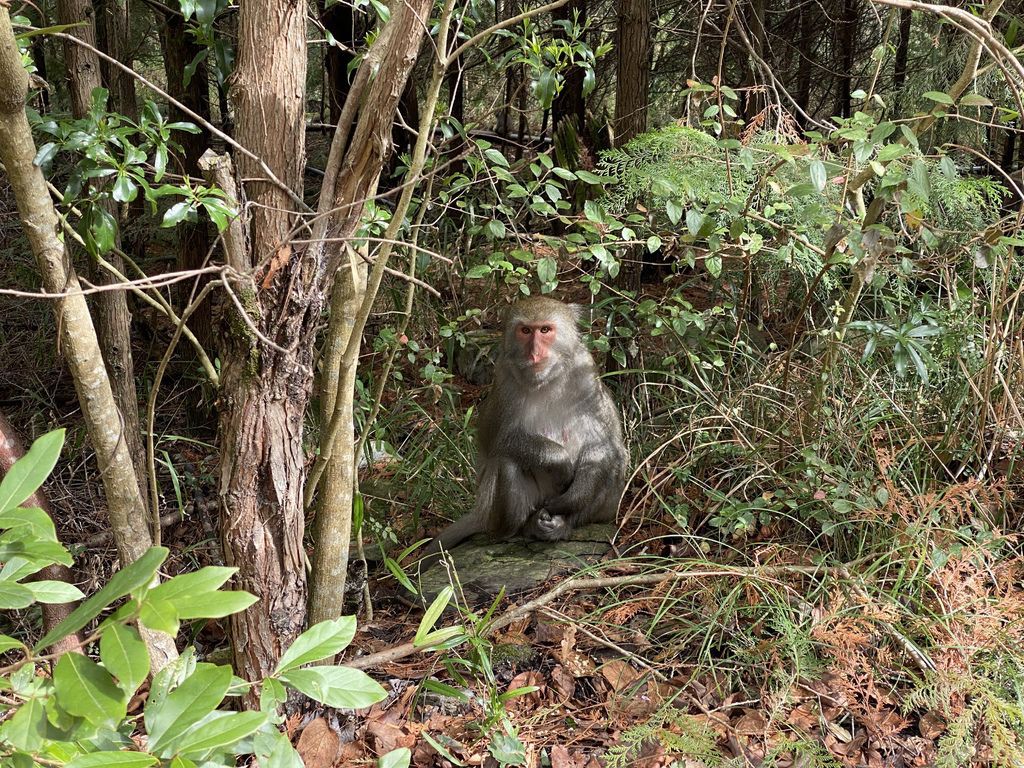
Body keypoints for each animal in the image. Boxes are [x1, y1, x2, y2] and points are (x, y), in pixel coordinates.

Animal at [421, 296, 626, 561]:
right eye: (526, 331)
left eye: (545, 330)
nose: (535, 353)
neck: (546, 380)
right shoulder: (503, 379)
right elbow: (499, 440)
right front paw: (560, 462)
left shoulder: (586, 372)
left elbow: (605, 443)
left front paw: (571, 499)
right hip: (496, 510)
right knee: (507, 462)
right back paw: (517, 529)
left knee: (613, 460)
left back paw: (562, 524)